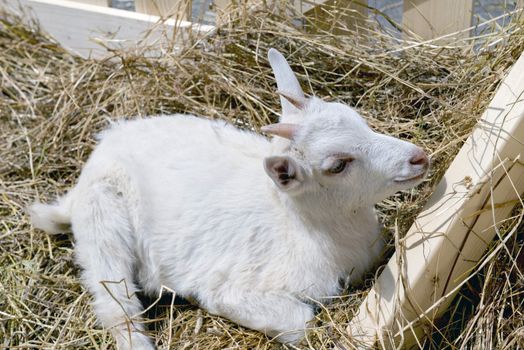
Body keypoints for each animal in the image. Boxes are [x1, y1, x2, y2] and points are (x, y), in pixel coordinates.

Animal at [28, 50, 428, 350]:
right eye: (337, 165)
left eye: (358, 119)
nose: (418, 157)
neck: (304, 230)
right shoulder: (228, 290)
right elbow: (300, 322)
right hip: (103, 223)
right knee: (116, 305)